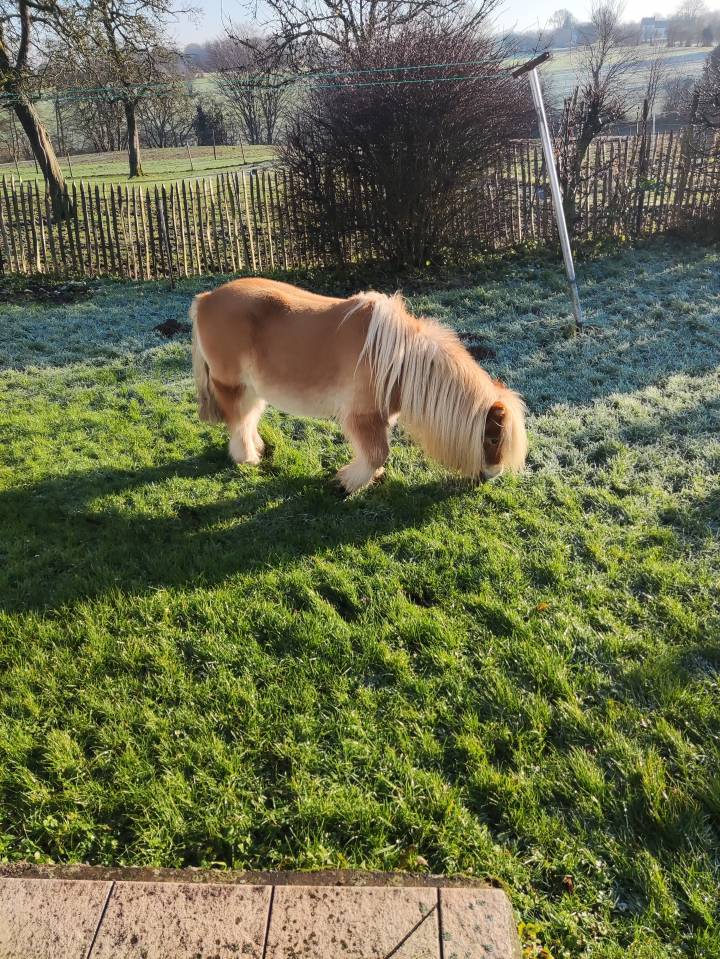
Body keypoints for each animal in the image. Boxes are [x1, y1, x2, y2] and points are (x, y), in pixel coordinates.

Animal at [190, 278, 527, 494]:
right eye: (493, 438)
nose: (492, 475)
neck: (398, 359)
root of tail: (204, 299)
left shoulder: (381, 415)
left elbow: (375, 450)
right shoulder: (362, 415)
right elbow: (377, 452)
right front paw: (348, 482)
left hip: (253, 389)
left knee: (248, 421)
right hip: (233, 386)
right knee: (239, 422)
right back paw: (248, 459)